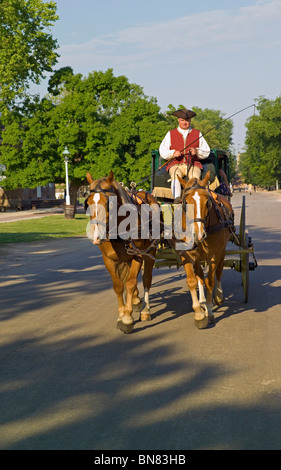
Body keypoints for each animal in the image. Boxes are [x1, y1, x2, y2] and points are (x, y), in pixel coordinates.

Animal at [84, 171, 159, 332]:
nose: (96, 236)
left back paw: (145, 310)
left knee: (146, 279)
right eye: (87, 203)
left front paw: (127, 318)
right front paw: (121, 314)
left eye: (109, 203)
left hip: (150, 252)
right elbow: (118, 286)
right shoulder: (109, 259)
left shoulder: (138, 255)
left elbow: (130, 283)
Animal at [176, 171, 233, 328]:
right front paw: (199, 313)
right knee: (200, 275)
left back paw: (218, 295)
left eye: (207, 202)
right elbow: (192, 281)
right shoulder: (187, 255)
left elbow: (210, 281)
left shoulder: (214, 255)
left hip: (222, 250)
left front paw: (210, 311)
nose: (199, 234)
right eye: (186, 202)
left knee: (219, 270)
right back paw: (201, 302)